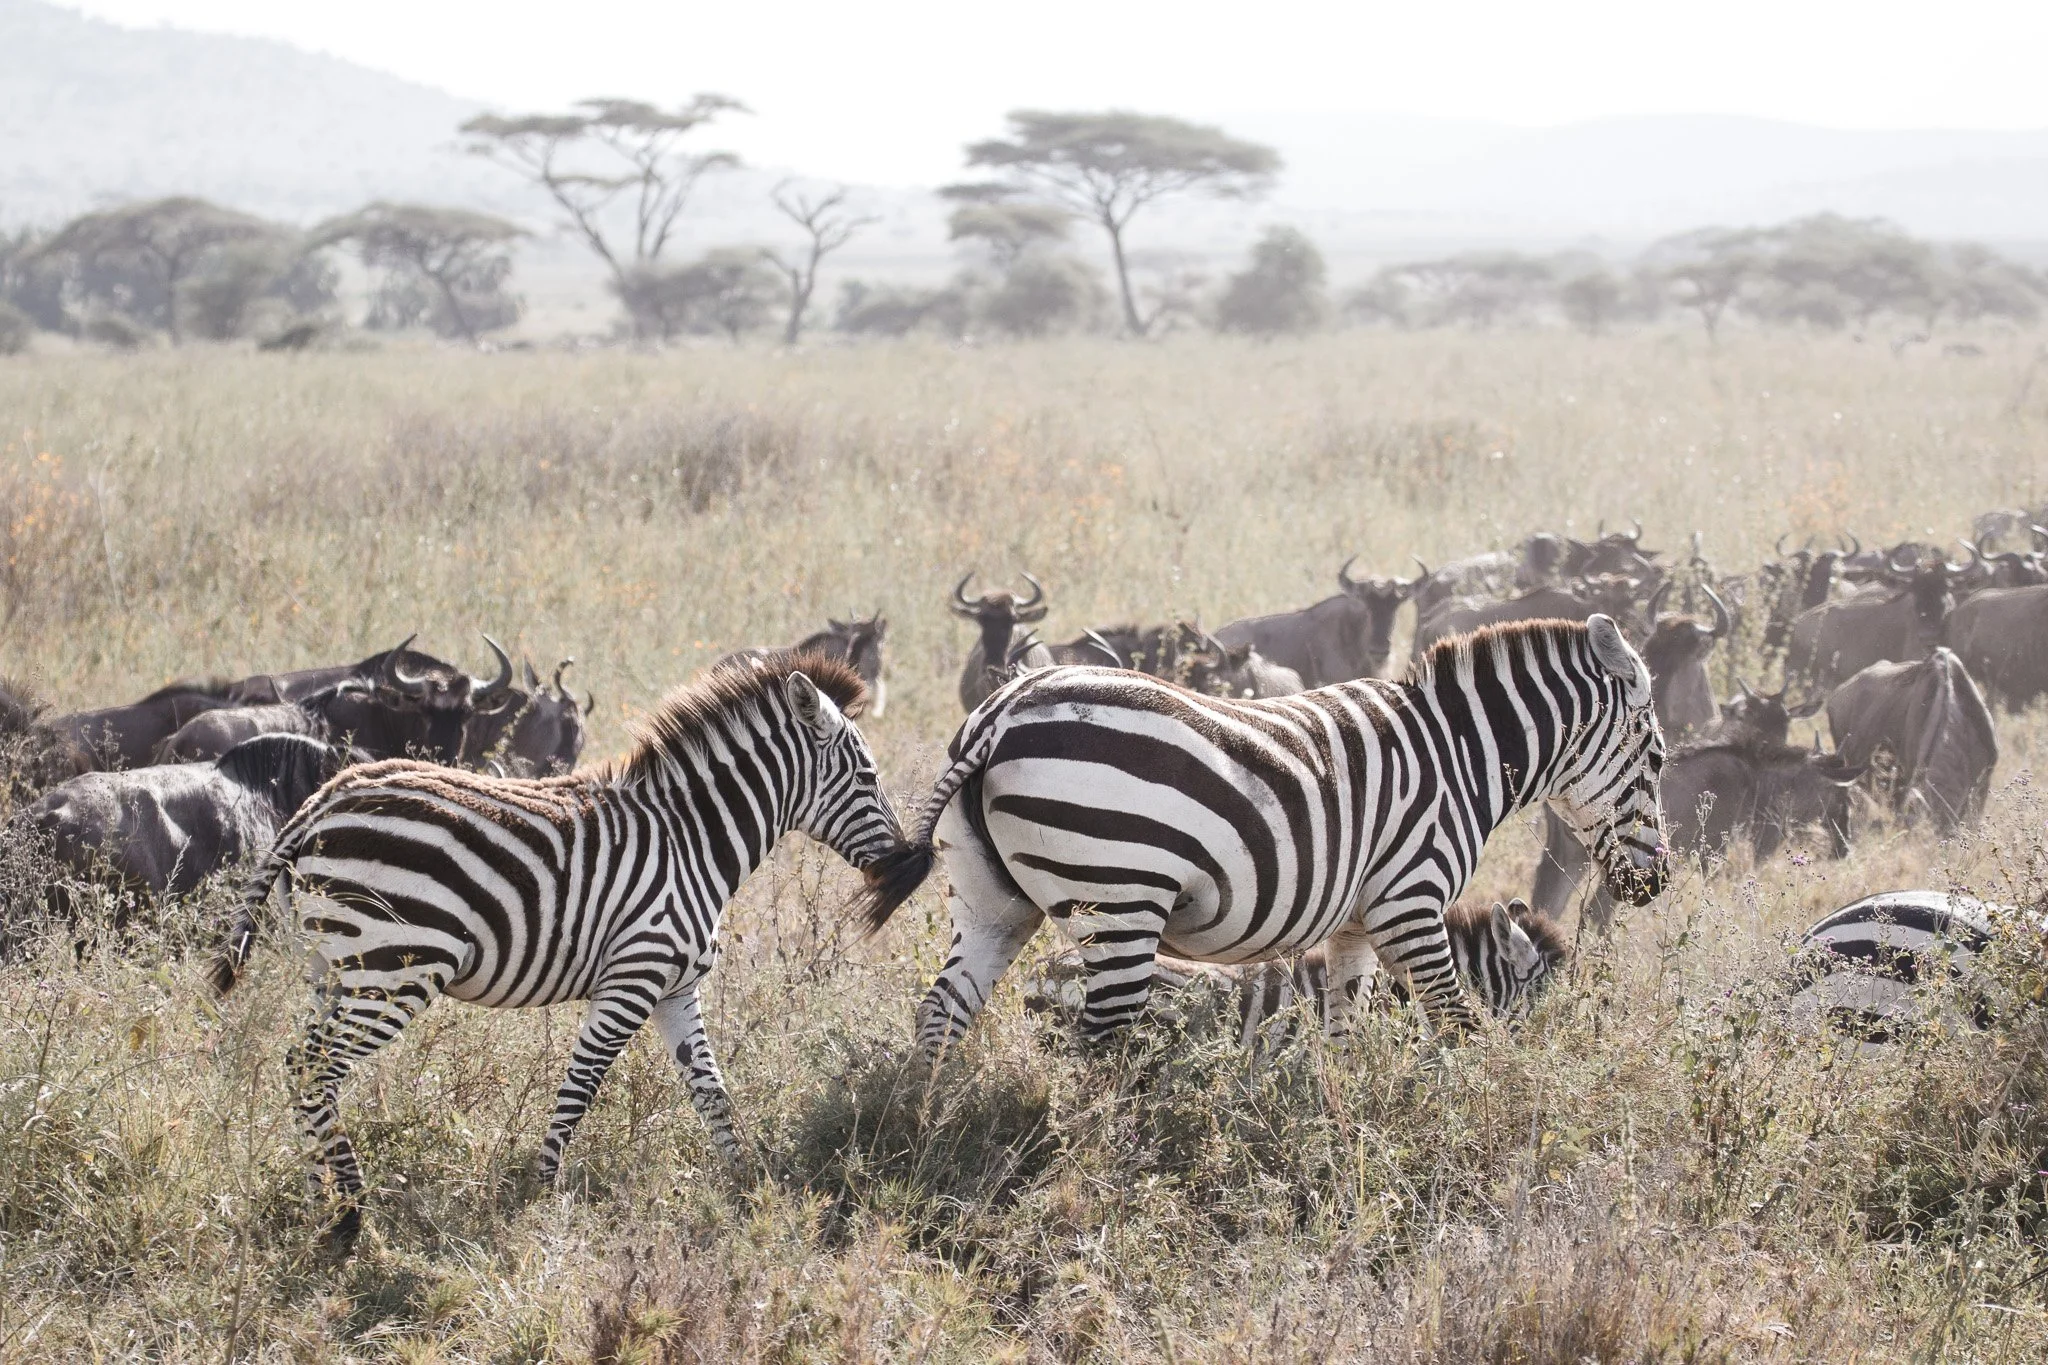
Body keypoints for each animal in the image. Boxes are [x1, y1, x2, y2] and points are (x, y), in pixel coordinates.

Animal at [209, 652, 927, 1243]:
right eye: (868, 776)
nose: (910, 866)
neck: (691, 839)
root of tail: (322, 803)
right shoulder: (632, 977)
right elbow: (580, 1085)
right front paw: (541, 1192)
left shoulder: (675, 988)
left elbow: (711, 1091)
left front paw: (747, 1186)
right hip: (391, 970)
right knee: (316, 1065)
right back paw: (350, 1215)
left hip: (334, 968)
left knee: (300, 1064)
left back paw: (323, 1204)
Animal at [865, 615, 1668, 1054]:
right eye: (1659, 758)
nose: (1656, 882)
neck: (1459, 754)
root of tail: (1003, 711)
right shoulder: (1410, 901)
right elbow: (1454, 1018)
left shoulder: (1355, 922)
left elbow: (1344, 1034)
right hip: (1119, 901)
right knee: (1101, 1035)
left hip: (990, 896)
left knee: (942, 1012)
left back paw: (927, 1131)